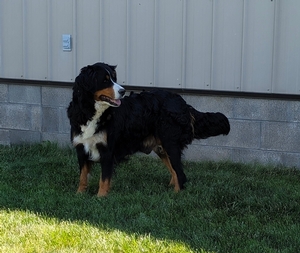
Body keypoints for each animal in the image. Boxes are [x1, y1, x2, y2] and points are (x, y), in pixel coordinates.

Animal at [67, 62, 229, 197]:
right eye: (105, 80)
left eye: (114, 78)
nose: (123, 91)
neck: (91, 113)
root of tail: (182, 102)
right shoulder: (81, 148)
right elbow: (82, 176)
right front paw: (79, 194)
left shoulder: (107, 150)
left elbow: (104, 179)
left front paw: (100, 197)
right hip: (162, 148)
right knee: (175, 171)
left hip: (170, 143)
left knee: (180, 174)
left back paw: (176, 195)